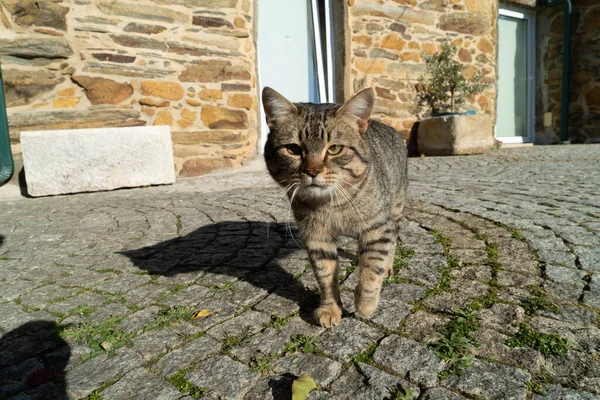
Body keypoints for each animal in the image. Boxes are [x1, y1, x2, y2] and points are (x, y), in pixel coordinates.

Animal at [262, 87, 408, 328]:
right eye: (293, 149)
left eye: (335, 149)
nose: (312, 171)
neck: (331, 205)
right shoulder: (317, 237)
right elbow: (325, 275)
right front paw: (330, 308)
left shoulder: (377, 228)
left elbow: (371, 270)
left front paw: (365, 305)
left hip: (395, 208)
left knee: (393, 238)